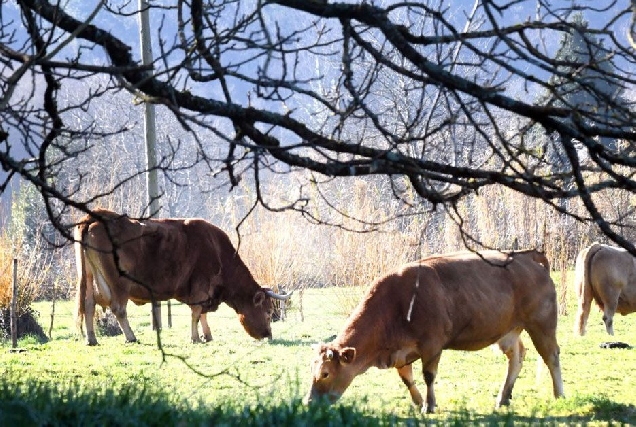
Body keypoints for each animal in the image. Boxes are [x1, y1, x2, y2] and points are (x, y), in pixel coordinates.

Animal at [74, 209, 290, 346]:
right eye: (269, 311)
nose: (269, 335)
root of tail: (96, 215)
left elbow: (202, 313)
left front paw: (207, 335)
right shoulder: (201, 286)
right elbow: (196, 312)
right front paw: (195, 338)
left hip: (89, 278)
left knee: (88, 305)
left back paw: (91, 339)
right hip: (118, 284)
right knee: (118, 308)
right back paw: (131, 336)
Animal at [306, 249, 564, 412]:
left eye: (326, 373)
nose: (308, 402)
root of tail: (527, 256)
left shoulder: (432, 344)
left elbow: (428, 375)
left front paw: (429, 405)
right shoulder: (401, 351)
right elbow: (406, 378)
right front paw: (419, 402)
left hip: (541, 324)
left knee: (551, 355)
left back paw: (559, 394)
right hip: (508, 330)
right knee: (517, 356)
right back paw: (503, 397)